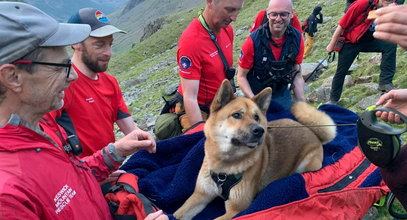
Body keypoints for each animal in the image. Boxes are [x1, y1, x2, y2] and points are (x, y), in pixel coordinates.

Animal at [174, 80, 336, 219]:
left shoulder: (236, 209)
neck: (224, 167)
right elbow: (178, 213)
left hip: (307, 165)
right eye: (236, 115)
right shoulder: (201, 195)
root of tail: (311, 131)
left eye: (257, 117)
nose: (260, 130)